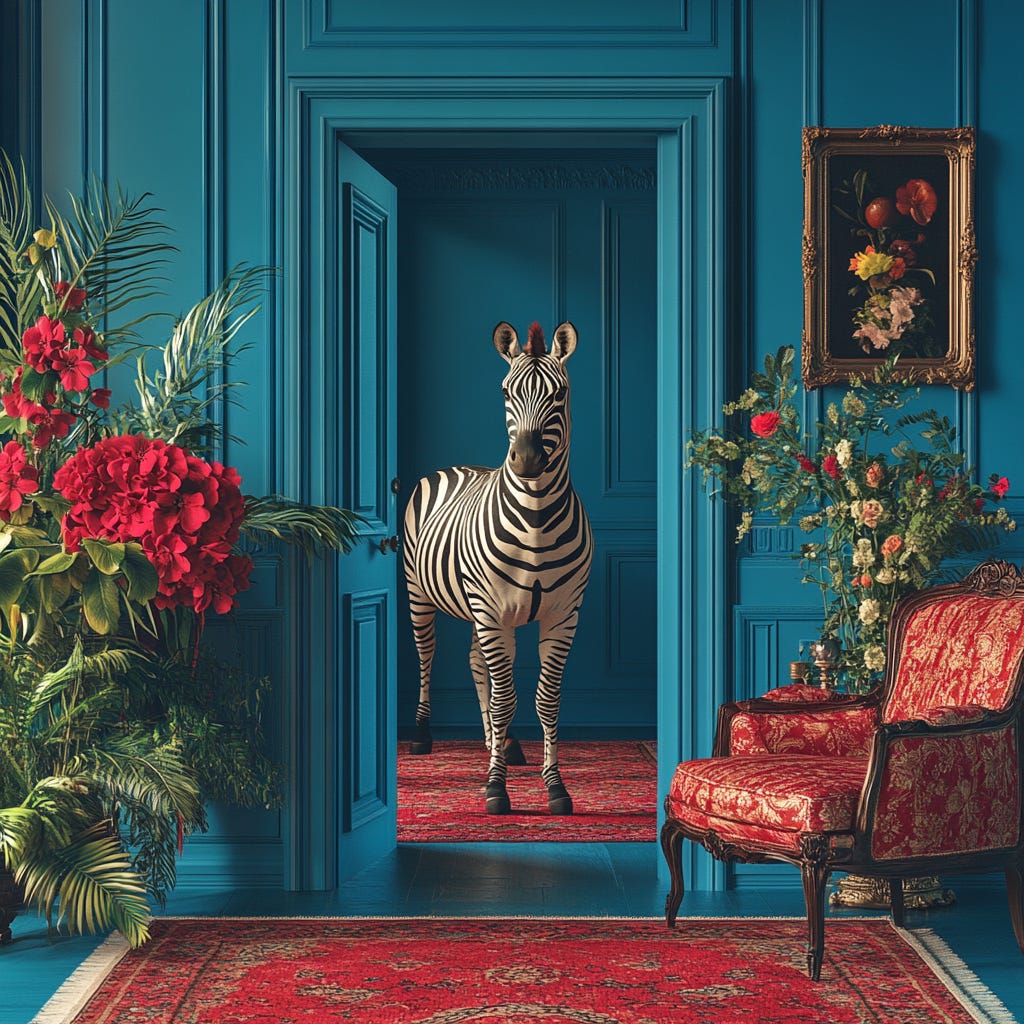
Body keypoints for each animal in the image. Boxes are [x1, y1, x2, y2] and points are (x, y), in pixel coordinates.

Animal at [402, 320, 593, 816]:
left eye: (560, 393)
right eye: (505, 391)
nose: (526, 461)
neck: (537, 519)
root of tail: (458, 466)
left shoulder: (563, 616)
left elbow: (545, 700)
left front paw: (554, 785)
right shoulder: (491, 612)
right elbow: (506, 697)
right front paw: (495, 787)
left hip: (479, 612)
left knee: (475, 664)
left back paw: (500, 742)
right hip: (420, 595)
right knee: (427, 657)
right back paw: (424, 735)